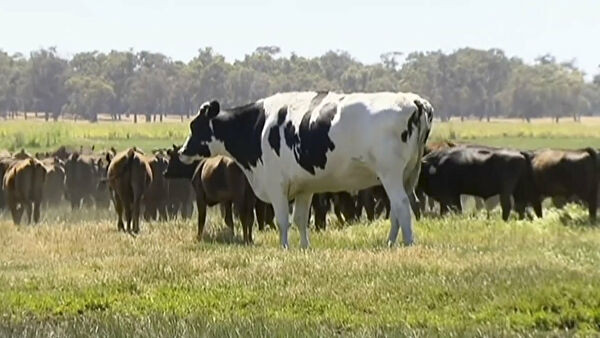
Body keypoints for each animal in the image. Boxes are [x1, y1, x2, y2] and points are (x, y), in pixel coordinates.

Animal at [176, 91, 434, 247]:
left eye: (194, 125)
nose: (182, 151)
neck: (258, 127)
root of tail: (414, 101)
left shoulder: (276, 185)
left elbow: (283, 220)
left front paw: (284, 248)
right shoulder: (305, 188)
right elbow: (300, 219)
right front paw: (304, 248)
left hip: (390, 174)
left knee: (402, 206)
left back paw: (407, 244)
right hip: (404, 176)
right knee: (398, 209)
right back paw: (390, 243)